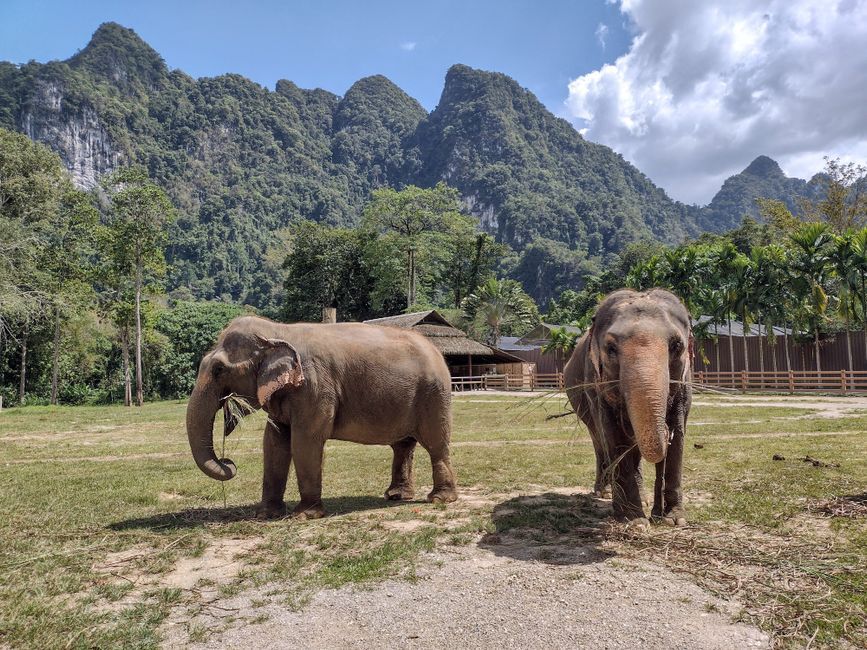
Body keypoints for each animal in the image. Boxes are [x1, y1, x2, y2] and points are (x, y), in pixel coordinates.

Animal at [186, 315, 458, 519]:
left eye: (219, 369)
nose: (229, 462)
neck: (278, 330)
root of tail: (437, 350)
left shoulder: (315, 387)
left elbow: (305, 441)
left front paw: (304, 516)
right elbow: (273, 443)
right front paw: (265, 514)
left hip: (434, 395)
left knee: (436, 444)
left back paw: (439, 499)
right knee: (402, 446)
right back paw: (396, 496)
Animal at [564, 289, 692, 528]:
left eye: (676, 346)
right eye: (611, 348)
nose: (665, 431)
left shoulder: (685, 382)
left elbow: (678, 433)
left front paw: (673, 520)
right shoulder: (595, 385)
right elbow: (613, 436)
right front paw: (633, 520)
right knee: (599, 440)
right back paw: (605, 492)